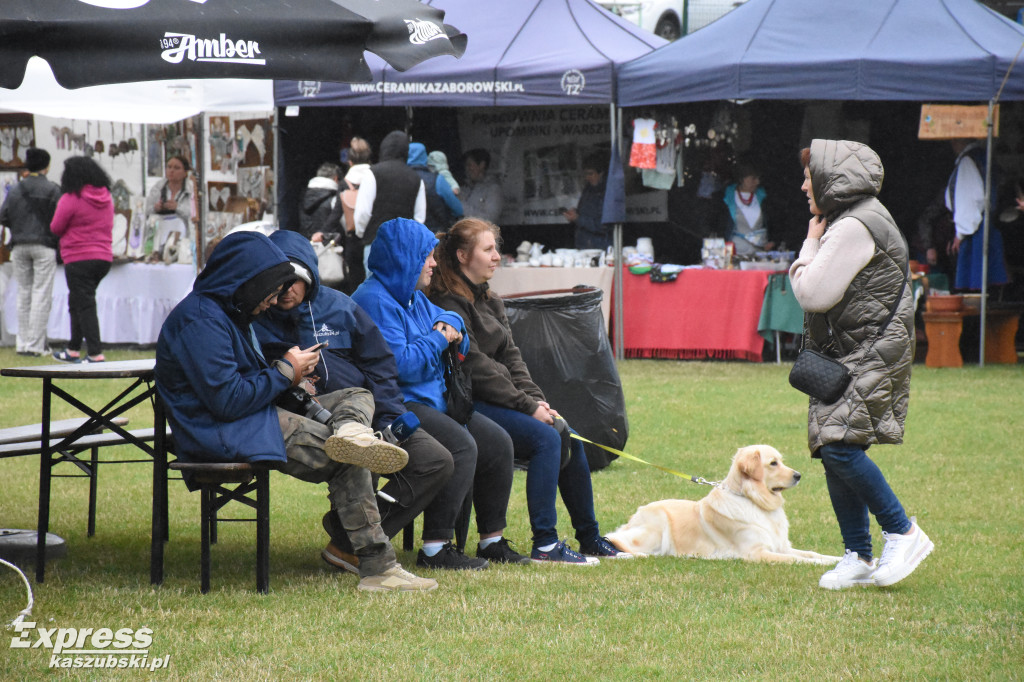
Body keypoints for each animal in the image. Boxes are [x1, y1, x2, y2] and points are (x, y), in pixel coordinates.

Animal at [606, 444, 839, 561]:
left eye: (781, 461)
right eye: (773, 463)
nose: (799, 475)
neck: (754, 501)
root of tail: (636, 513)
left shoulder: (781, 546)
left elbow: (812, 554)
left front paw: (835, 560)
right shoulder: (756, 552)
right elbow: (799, 559)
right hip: (656, 527)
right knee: (615, 538)